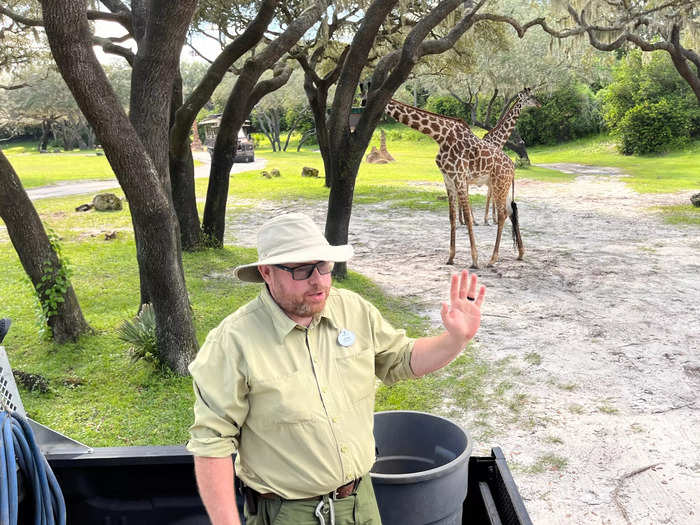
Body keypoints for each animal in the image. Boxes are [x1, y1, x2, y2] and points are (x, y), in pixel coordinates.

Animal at [386, 98, 524, 268]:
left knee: (503, 214)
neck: (440, 135)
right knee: (511, 211)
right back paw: (520, 253)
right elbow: (451, 217)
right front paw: (451, 257)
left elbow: (467, 216)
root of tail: (513, 167)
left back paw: (492, 259)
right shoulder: (448, 179)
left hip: (499, 184)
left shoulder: (459, 177)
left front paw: (474, 260)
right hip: (503, 186)